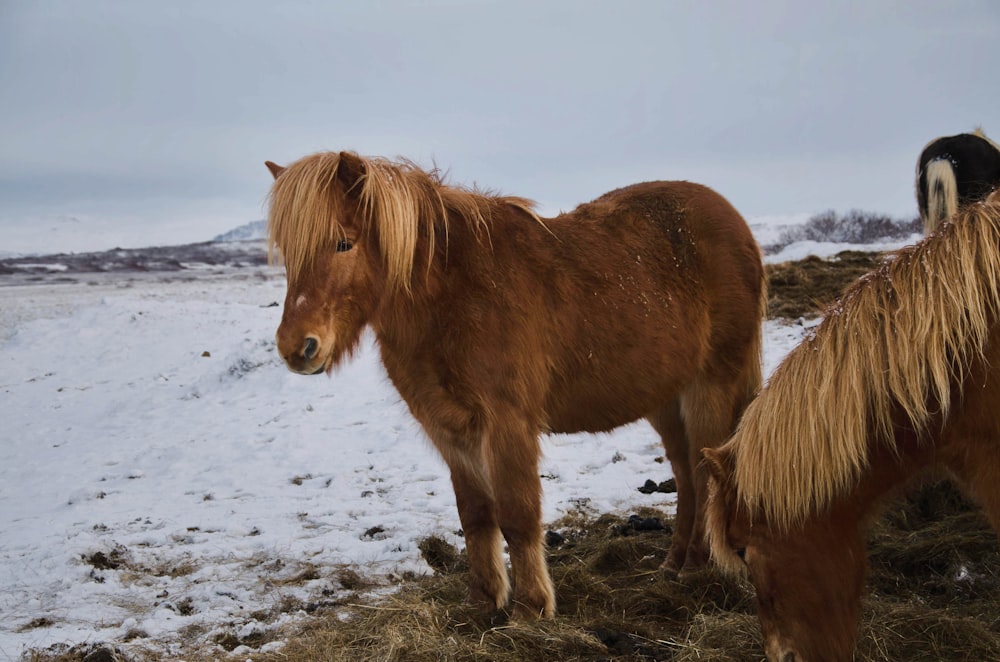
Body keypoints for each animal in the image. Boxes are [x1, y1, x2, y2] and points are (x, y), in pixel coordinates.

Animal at [266, 152, 764, 624]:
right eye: (288, 252)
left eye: (343, 243)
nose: (297, 347)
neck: (452, 296)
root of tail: (734, 222)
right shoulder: (449, 429)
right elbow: (475, 515)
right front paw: (482, 601)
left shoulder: (507, 423)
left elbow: (518, 514)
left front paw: (530, 607)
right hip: (665, 397)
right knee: (685, 474)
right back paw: (673, 565)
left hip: (710, 386)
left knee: (702, 472)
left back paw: (696, 568)